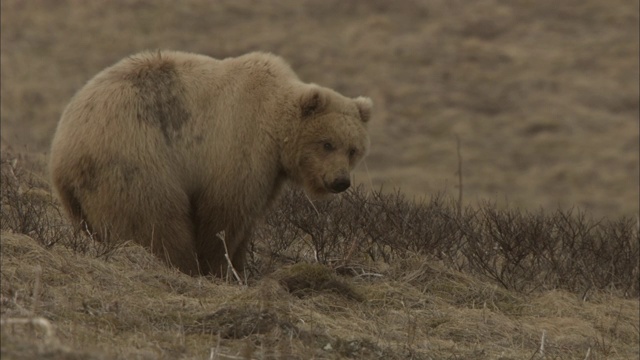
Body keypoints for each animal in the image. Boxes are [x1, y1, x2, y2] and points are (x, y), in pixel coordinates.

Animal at [50, 50, 372, 276]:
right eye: (327, 143)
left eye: (353, 149)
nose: (340, 181)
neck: (275, 129)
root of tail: (63, 148)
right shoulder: (238, 147)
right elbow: (223, 215)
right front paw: (220, 268)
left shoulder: (269, 175)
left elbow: (247, 220)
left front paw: (240, 267)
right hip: (135, 159)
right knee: (156, 222)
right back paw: (180, 264)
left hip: (85, 196)